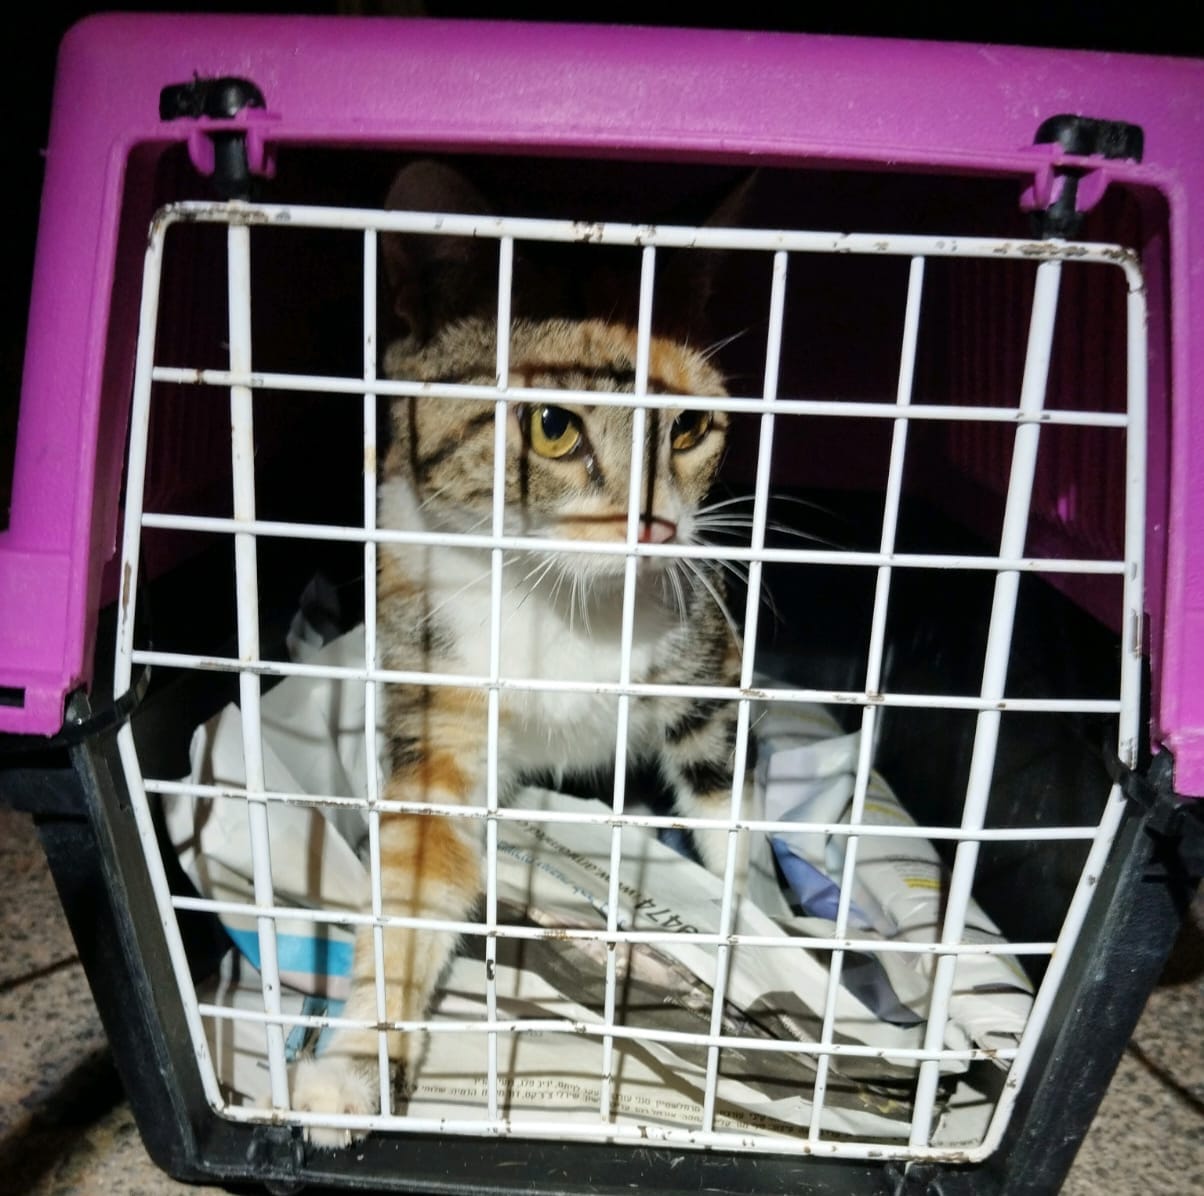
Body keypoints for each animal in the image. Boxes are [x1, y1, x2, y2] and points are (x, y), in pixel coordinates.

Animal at [289, 161, 752, 1146]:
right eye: (550, 425)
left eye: (689, 427)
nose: (657, 527)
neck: (559, 597)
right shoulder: (438, 702)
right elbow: (415, 879)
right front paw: (350, 1069)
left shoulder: (708, 660)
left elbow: (726, 806)